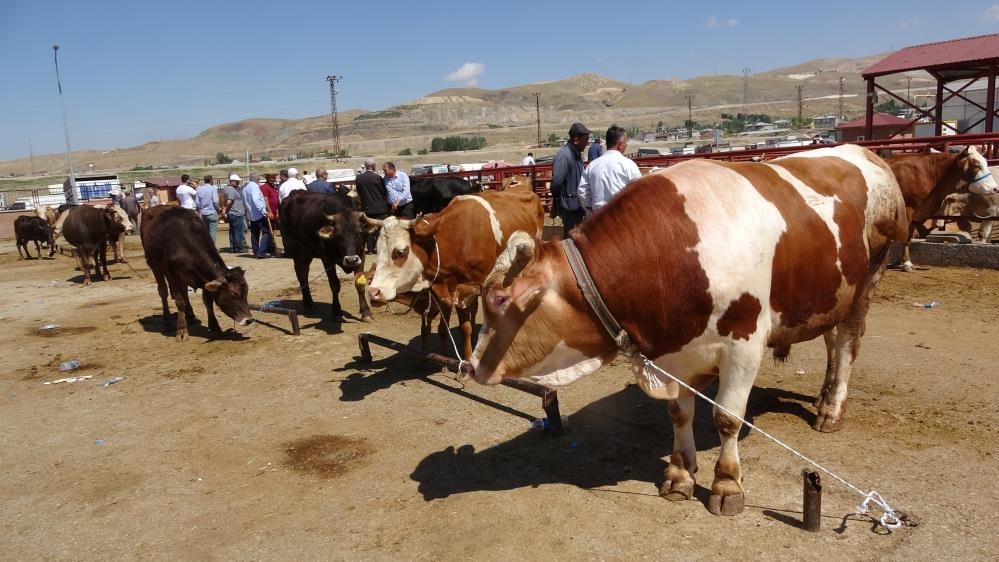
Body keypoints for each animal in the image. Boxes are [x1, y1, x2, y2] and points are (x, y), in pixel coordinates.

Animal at [141, 205, 254, 340]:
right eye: (234, 294)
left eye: (246, 292)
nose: (249, 320)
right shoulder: (173, 275)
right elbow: (179, 302)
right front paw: (181, 330)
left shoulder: (203, 278)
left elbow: (208, 302)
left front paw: (214, 326)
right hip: (154, 265)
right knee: (163, 291)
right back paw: (167, 319)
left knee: (184, 292)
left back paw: (190, 315)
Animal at [464, 145, 912, 516]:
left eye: (500, 301)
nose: (472, 365)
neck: (676, 251)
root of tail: (867, 155)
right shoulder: (672, 353)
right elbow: (679, 412)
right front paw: (680, 474)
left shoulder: (744, 345)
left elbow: (727, 418)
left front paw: (727, 484)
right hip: (830, 292)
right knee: (833, 342)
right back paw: (823, 396)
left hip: (867, 281)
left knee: (847, 345)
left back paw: (832, 409)